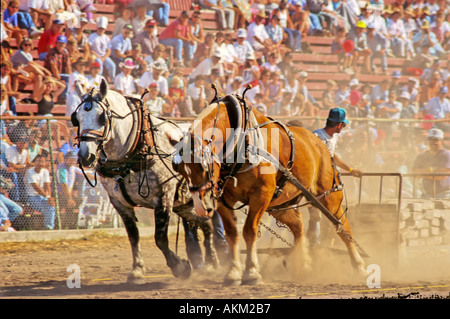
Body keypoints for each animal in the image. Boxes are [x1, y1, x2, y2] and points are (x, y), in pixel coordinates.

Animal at [71, 80, 221, 282]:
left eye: (102, 117)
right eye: (76, 118)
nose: (86, 156)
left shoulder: (163, 196)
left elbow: (160, 238)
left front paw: (180, 267)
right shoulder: (119, 202)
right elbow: (133, 236)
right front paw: (137, 269)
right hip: (185, 204)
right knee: (206, 225)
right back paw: (210, 263)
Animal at [174, 87, 368, 284]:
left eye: (204, 166)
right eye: (179, 168)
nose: (200, 207)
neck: (241, 140)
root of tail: (320, 144)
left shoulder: (261, 194)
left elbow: (249, 230)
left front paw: (251, 272)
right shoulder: (222, 200)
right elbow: (232, 233)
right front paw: (233, 271)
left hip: (328, 196)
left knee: (342, 226)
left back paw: (358, 265)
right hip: (279, 205)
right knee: (298, 226)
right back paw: (303, 264)